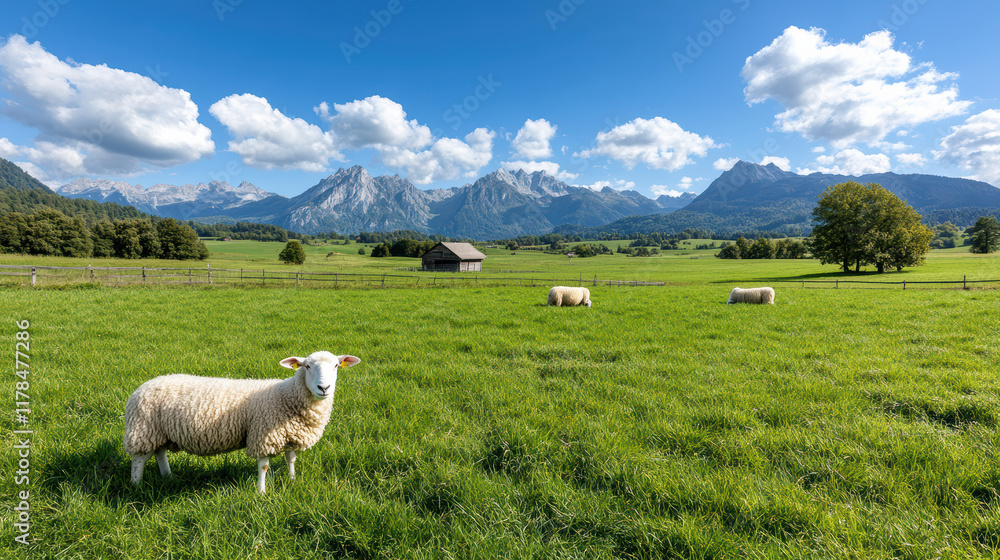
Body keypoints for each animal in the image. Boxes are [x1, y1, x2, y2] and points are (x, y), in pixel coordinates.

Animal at [124, 351, 360, 494]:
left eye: (337, 366)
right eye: (307, 366)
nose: (324, 388)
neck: (285, 396)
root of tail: (141, 388)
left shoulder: (289, 434)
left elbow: (291, 459)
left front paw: (292, 481)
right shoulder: (262, 434)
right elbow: (264, 466)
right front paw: (261, 492)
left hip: (159, 432)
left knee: (159, 452)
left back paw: (169, 477)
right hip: (143, 429)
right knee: (139, 460)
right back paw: (136, 486)